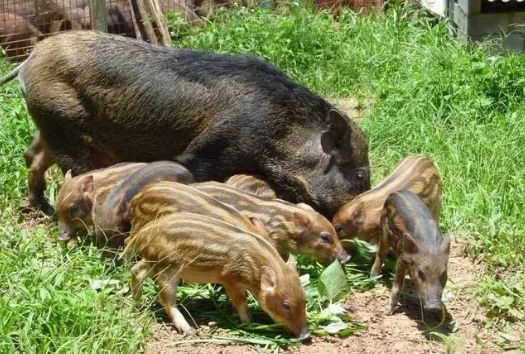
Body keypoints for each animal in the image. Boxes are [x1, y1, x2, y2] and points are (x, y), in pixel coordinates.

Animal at [1, 31, 368, 218]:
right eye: (361, 175)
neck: (280, 131)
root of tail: (31, 58)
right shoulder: (209, 151)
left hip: (51, 124)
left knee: (32, 156)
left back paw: (36, 208)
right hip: (65, 127)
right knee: (68, 172)